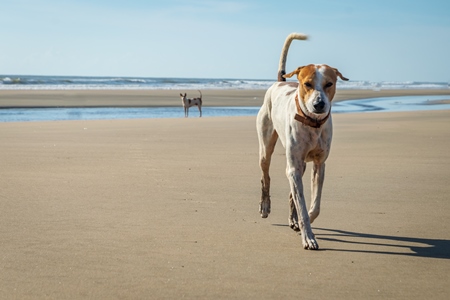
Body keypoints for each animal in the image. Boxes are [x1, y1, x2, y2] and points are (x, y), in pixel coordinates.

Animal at [256, 32, 348, 250]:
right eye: (307, 84)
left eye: (329, 84)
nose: (319, 104)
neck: (312, 123)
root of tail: (280, 82)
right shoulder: (294, 166)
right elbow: (303, 206)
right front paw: (308, 237)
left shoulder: (319, 164)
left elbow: (314, 205)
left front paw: (305, 222)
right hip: (266, 147)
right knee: (266, 176)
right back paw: (265, 206)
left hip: (301, 165)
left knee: (292, 194)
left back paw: (293, 219)